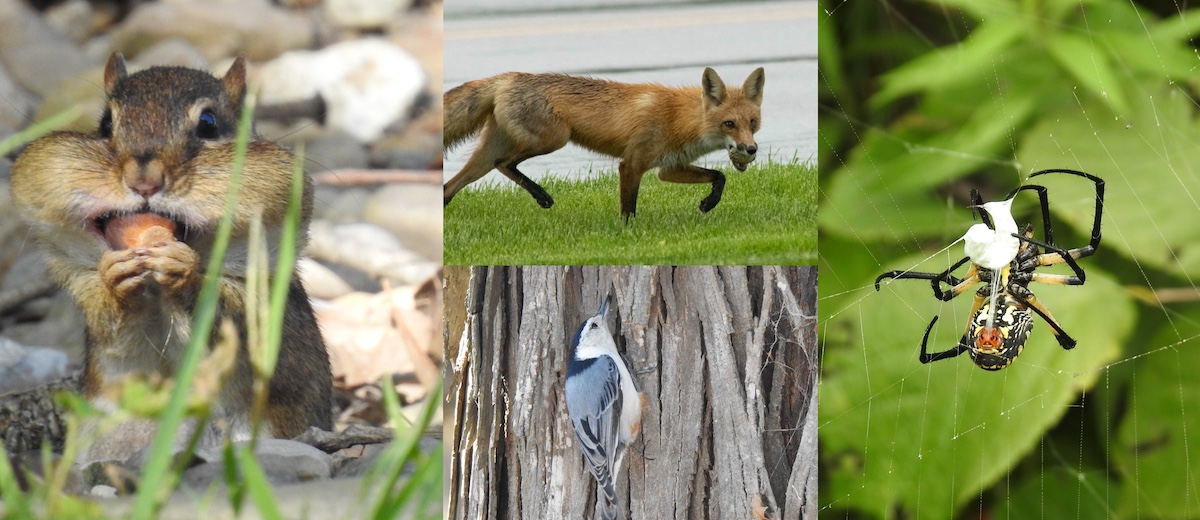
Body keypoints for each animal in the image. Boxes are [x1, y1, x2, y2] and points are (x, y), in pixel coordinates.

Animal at [10, 54, 332, 440]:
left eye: (208, 123)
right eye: (105, 124)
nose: (143, 180)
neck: (155, 296)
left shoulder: (258, 305)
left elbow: (226, 318)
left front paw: (183, 271)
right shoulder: (89, 298)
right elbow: (111, 326)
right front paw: (116, 280)